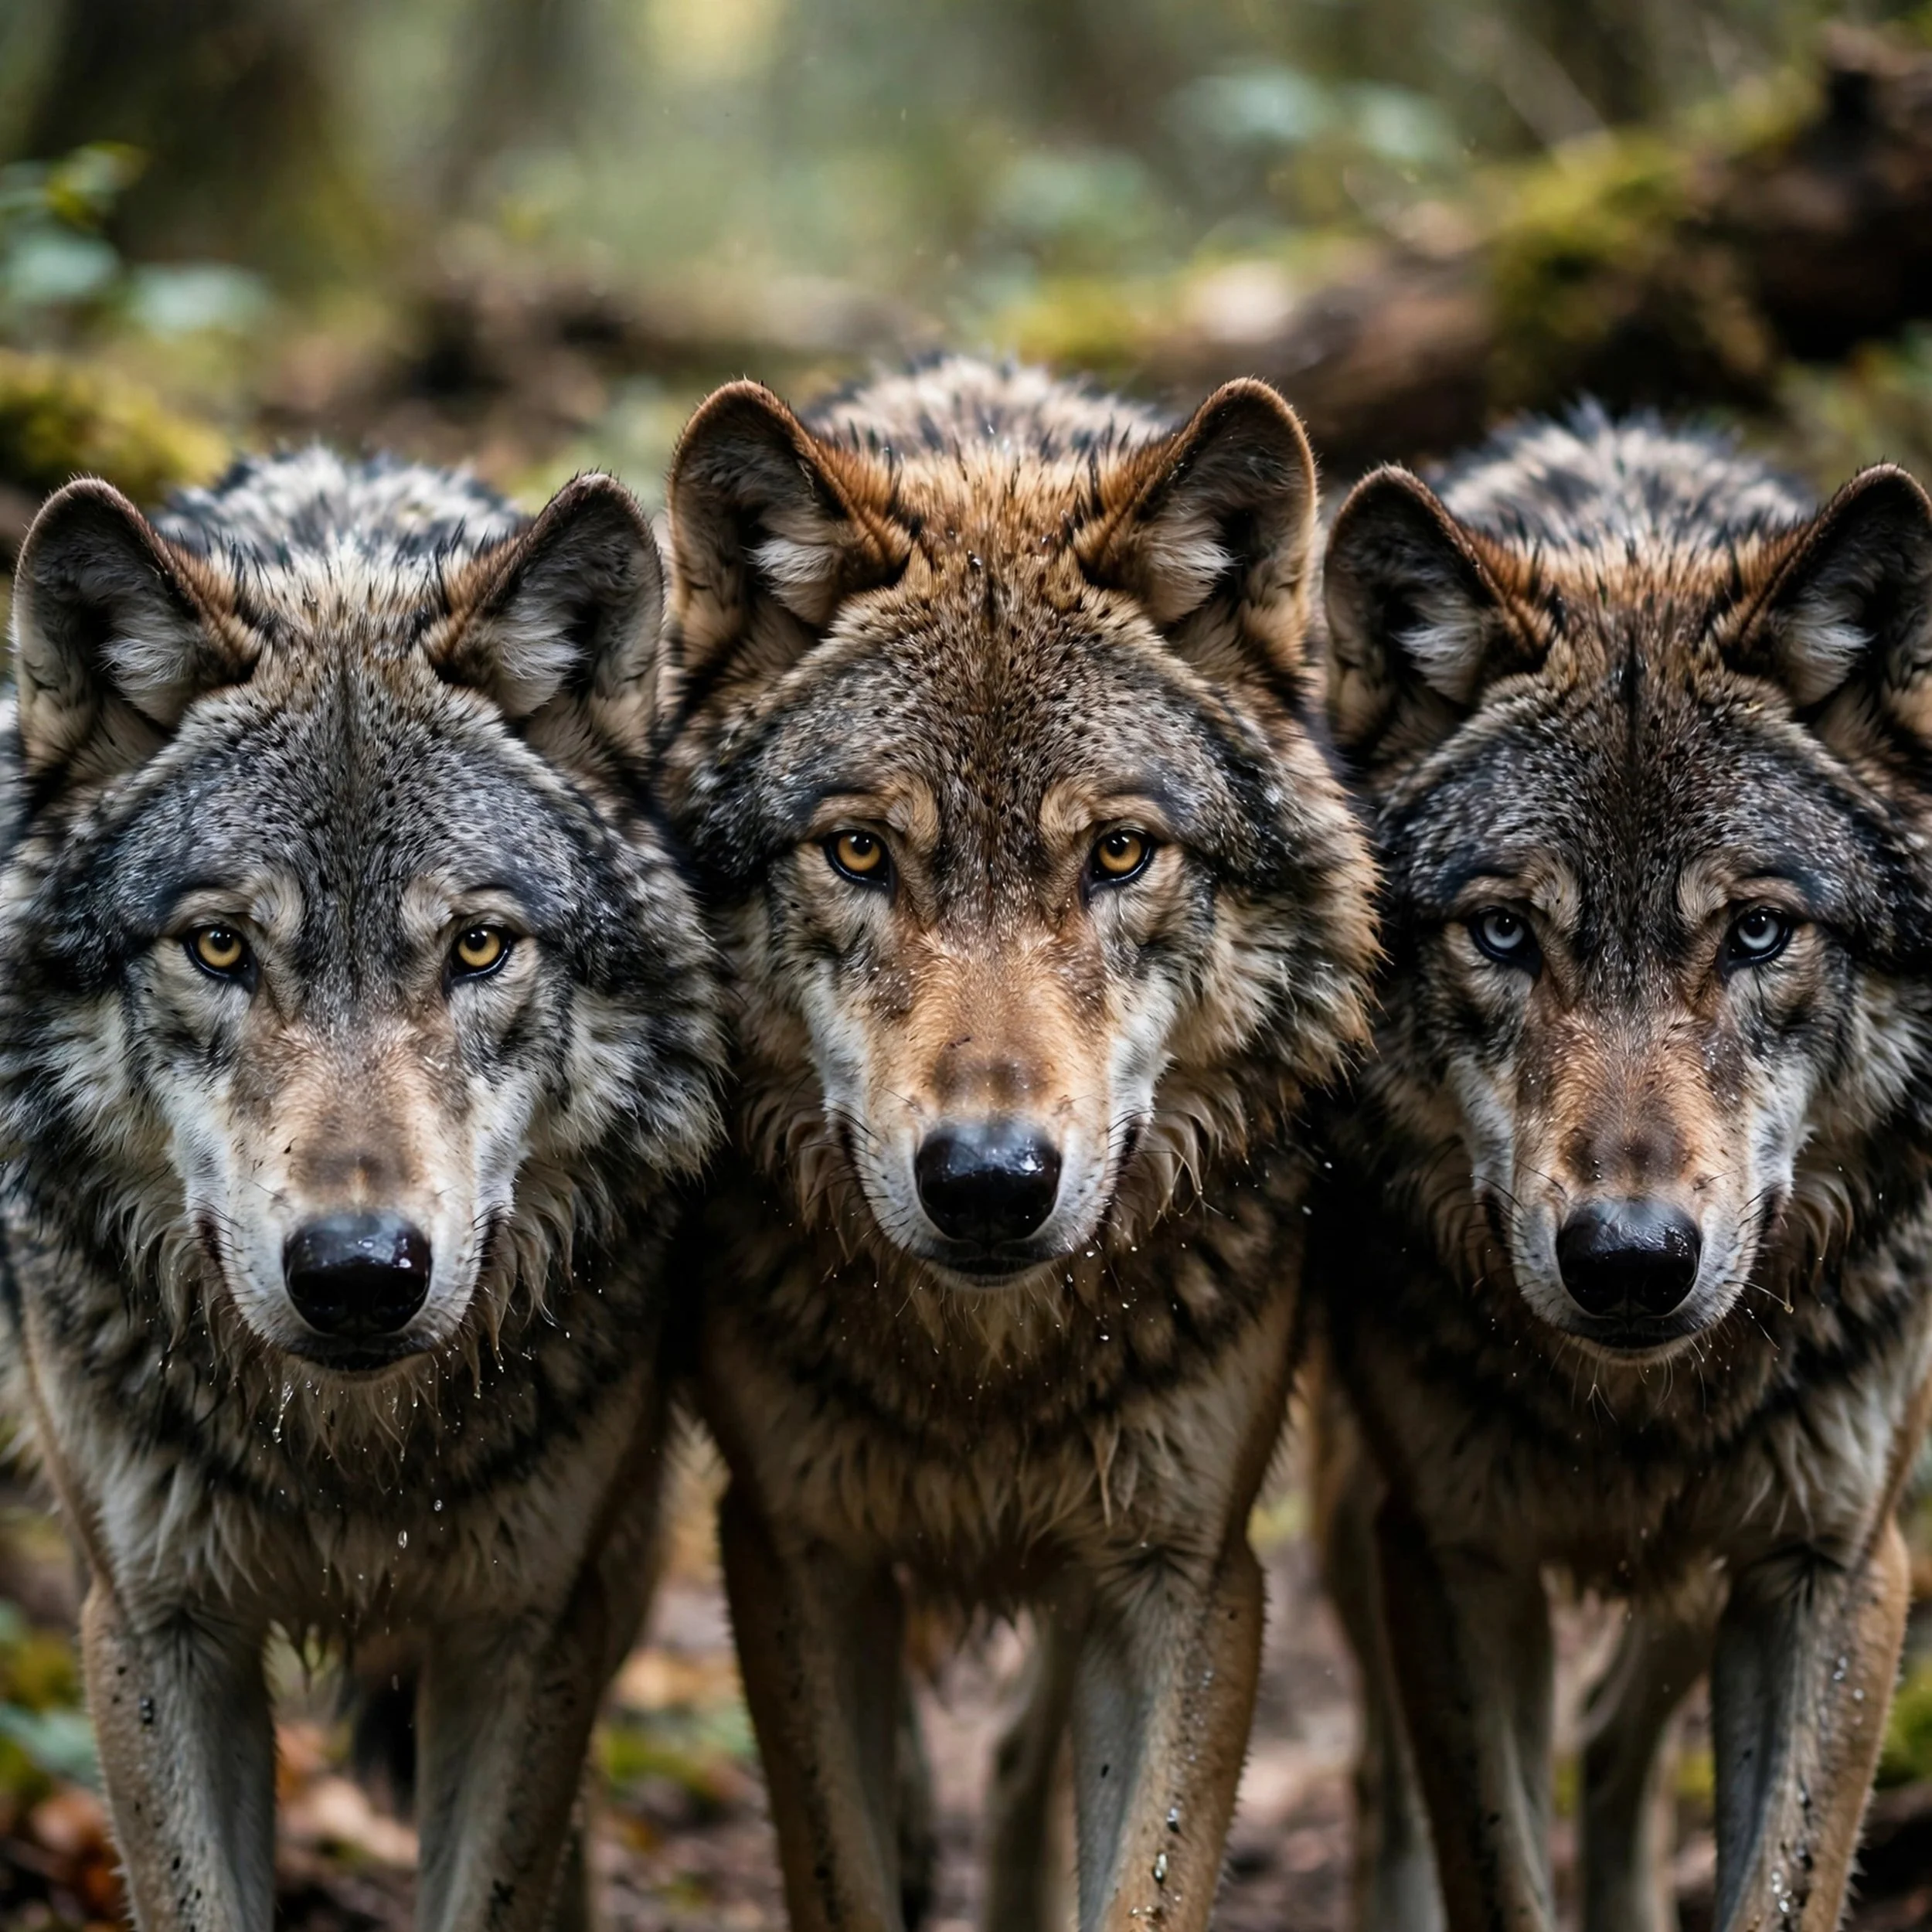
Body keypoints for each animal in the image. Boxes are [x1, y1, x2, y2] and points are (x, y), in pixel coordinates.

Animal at [0, 450, 724, 1932]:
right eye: (221, 947)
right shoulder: (153, 1629)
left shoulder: (524, 1632)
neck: (350, 1453)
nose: (355, 1275)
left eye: (479, 946)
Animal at [655, 357, 1378, 1932]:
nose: (989, 1186)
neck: (983, 1372)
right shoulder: (796, 1554)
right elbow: (843, 1870)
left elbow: (1141, 1883)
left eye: (1118, 853)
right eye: (860, 853)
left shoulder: (1184, 1577)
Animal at [1312, 406, 1932, 1932]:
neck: (1635, 1411)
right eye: (1505, 933)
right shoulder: (1452, 1557)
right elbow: (1492, 1868)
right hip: (1358, 1511)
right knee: (1381, 1782)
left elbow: (1780, 1881)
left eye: (1759, 933)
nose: (1631, 1264)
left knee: (1609, 1742)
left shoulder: (1833, 1565)